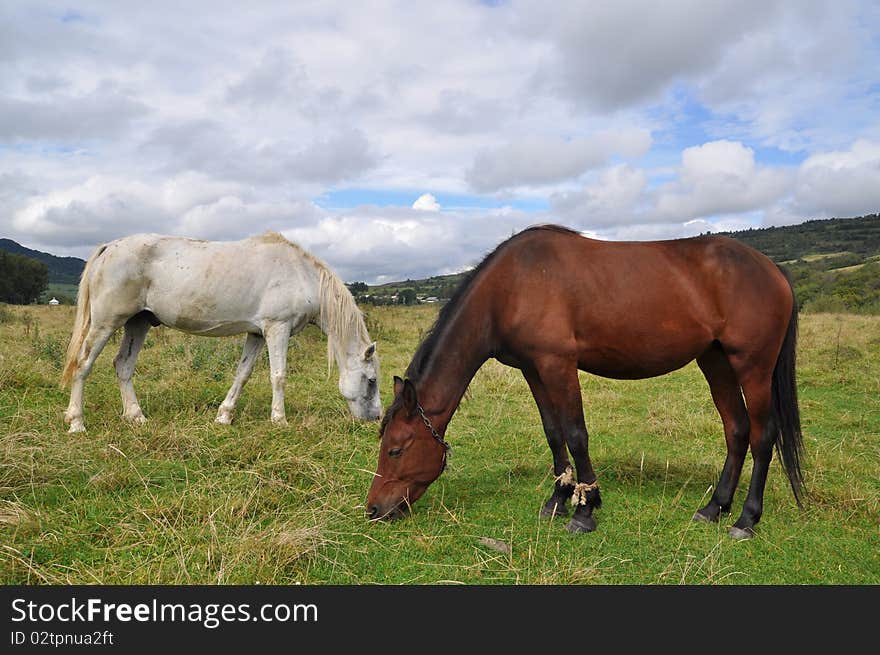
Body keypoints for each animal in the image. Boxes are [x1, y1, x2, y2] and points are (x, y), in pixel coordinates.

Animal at [62, 233, 378, 434]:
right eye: (372, 380)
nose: (374, 418)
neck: (302, 275)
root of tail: (109, 247)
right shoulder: (277, 328)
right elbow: (278, 376)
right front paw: (279, 420)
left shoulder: (257, 334)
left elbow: (243, 374)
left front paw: (224, 416)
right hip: (106, 323)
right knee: (82, 365)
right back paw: (77, 423)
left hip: (138, 323)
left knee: (123, 366)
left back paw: (136, 416)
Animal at [368, 223, 808, 540]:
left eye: (395, 449)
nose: (373, 509)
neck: (511, 287)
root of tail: (774, 271)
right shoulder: (534, 369)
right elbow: (553, 433)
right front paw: (559, 499)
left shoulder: (559, 365)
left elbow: (576, 434)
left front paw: (585, 509)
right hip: (715, 361)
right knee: (736, 430)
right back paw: (714, 508)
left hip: (752, 366)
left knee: (761, 436)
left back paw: (746, 520)